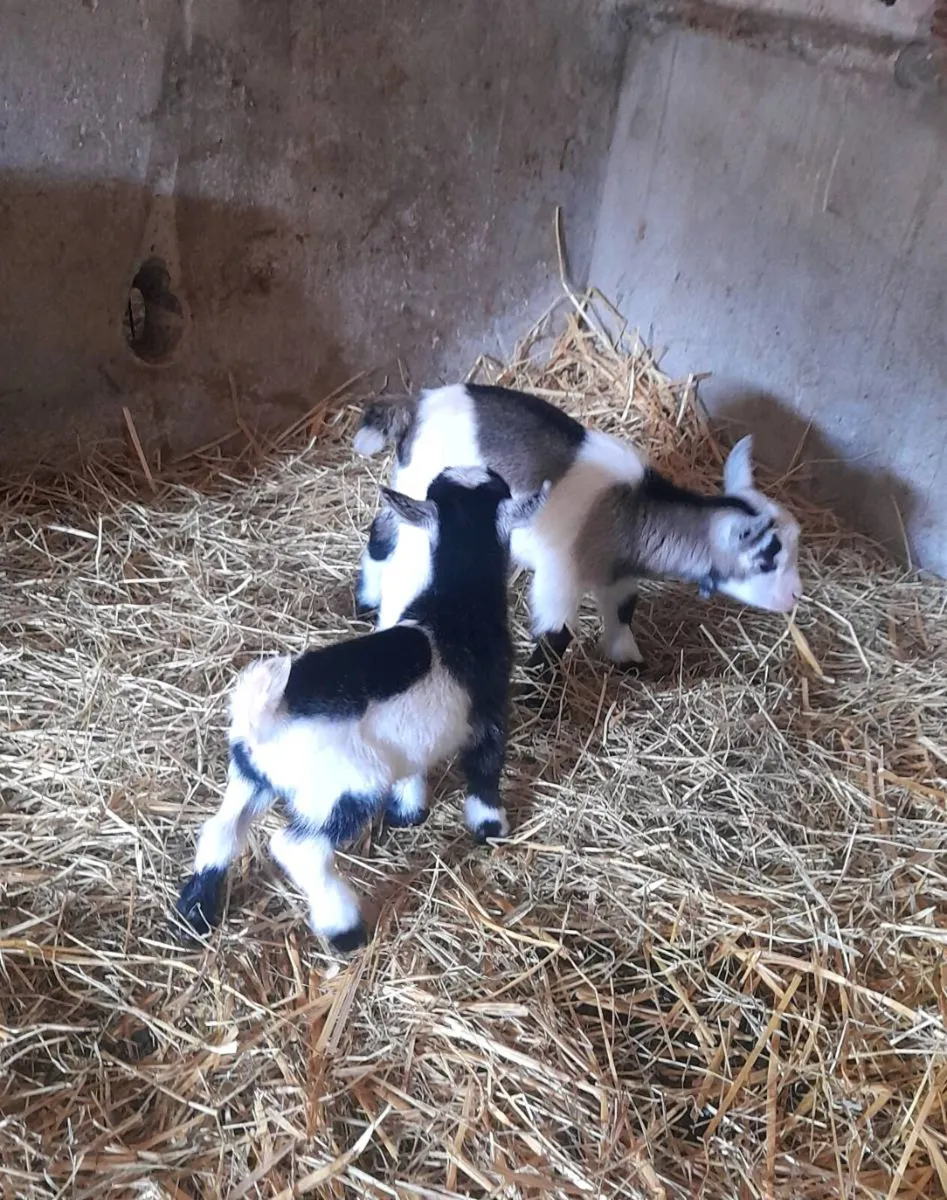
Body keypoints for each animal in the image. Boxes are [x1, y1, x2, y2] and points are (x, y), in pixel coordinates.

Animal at [176, 467, 547, 952]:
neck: (455, 605)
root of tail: (265, 720)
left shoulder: (414, 738)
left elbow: (413, 769)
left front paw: (408, 815)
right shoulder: (489, 712)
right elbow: (485, 771)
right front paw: (491, 829)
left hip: (250, 777)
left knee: (221, 829)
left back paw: (194, 914)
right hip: (344, 788)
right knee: (298, 849)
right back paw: (345, 929)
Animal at [354, 383, 802, 673]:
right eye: (767, 558)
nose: (795, 595)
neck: (631, 511)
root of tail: (416, 407)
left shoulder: (616, 574)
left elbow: (623, 610)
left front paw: (629, 660)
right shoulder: (560, 574)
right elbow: (557, 636)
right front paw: (536, 697)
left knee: (381, 532)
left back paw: (366, 602)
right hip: (421, 490)